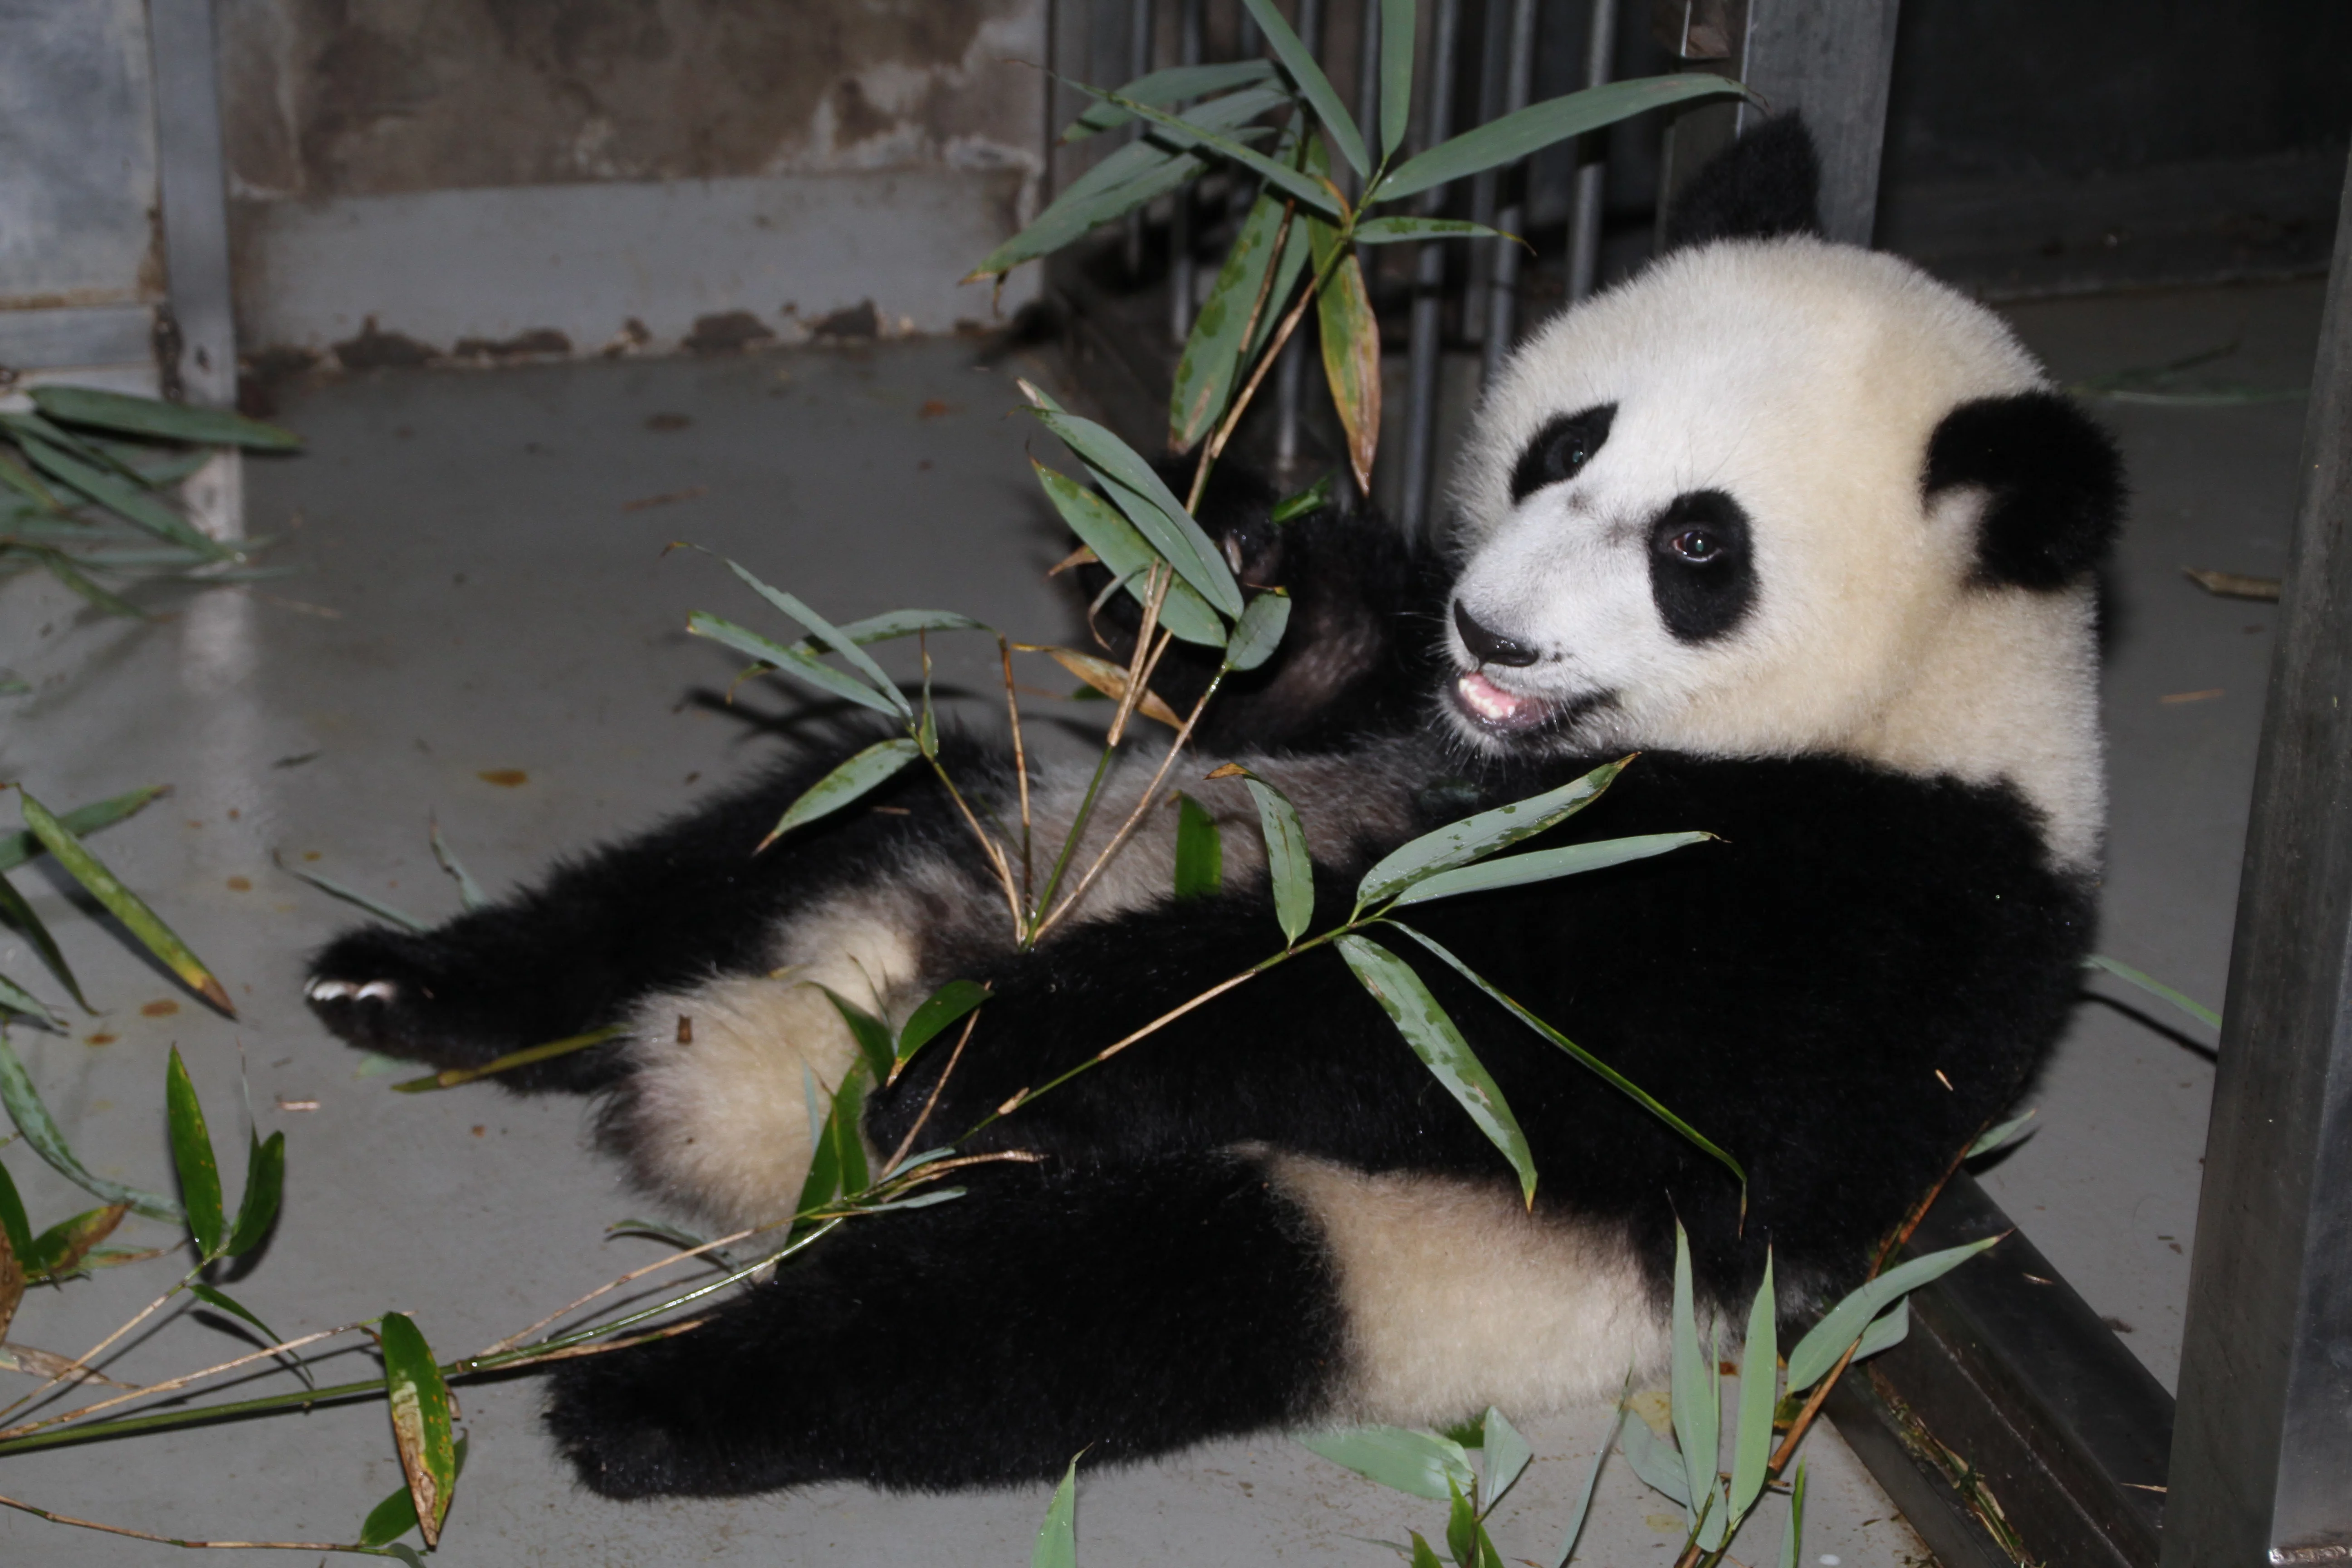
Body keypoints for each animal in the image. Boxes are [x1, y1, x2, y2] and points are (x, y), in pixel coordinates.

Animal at [304, 119, 2120, 1499]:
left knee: (1043, 1311)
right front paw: (1220, 542)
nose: (1495, 634)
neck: (1925, 698)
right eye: (1564, 445)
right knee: (751, 848)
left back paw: (654, 1387)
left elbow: (1429, 1013)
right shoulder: (1379, 708)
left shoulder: (1860, 912)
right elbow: (1285, 685)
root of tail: (766, 1078)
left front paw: (1000, 1035)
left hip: (1367, 1244)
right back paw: (414, 985)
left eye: (1696, 546)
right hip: (995, 807)